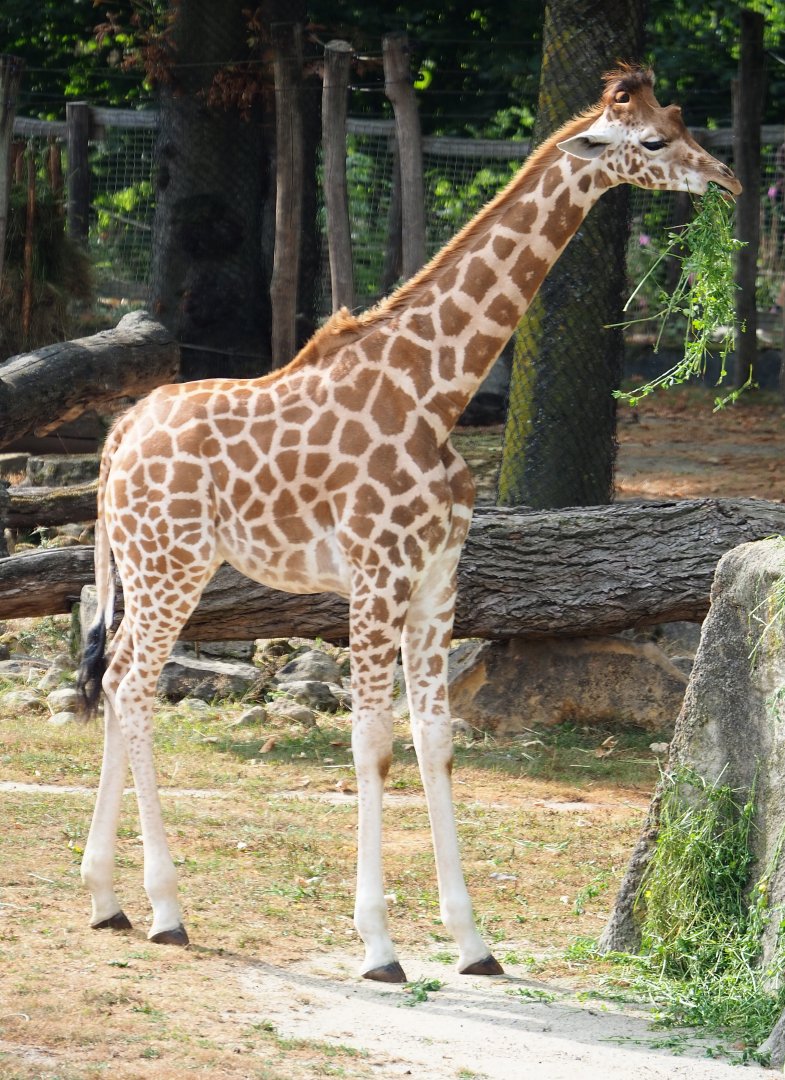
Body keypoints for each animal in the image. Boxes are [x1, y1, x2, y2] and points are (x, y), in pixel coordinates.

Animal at [76, 66, 740, 983]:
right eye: (650, 140)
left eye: (679, 120)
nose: (728, 179)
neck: (437, 390)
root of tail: (116, 438)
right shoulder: (376, 576)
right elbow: (371, 744)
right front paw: (379, 947)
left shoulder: (435, 584)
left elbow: (434, 741)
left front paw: (472, 943)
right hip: (169, 564)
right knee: (136, 687)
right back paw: (167, 911)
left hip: (156, 567)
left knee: (115, 680)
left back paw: (108, 901)